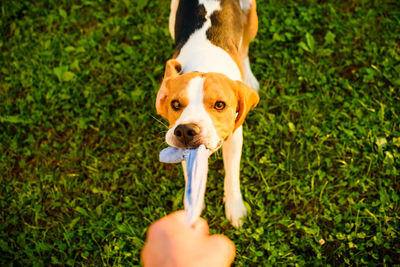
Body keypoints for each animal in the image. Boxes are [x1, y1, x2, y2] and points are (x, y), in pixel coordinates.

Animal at [156, 0, 260, 228]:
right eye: (175, 104)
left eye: (220, 105)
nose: (185, 131)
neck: (204, 64)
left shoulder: (235, 139)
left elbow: (231, 176)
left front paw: (235, 208)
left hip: (251, 19)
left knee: (245, 50)